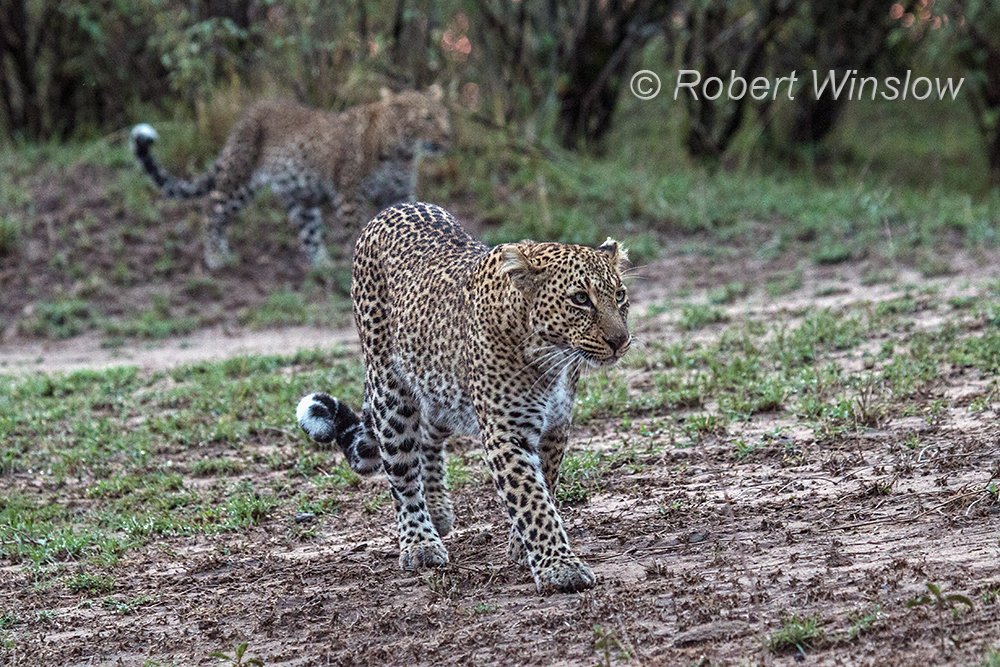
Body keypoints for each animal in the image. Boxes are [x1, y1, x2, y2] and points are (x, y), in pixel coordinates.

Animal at [129, 85, 451, 269]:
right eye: (427, 118)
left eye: (444, 115)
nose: (447, 136)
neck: (401, 152)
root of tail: (248, 114)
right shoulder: (350, 195)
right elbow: (356, 231)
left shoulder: (401, 194)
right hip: (240, 178)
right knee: (212, 208)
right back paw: (216, 257)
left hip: (299, 196)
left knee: (309, 231)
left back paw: (322, 266)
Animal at [296, 202, 631, 593]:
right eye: (580, 299)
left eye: (620, 296)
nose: (620, 340)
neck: (552, 358)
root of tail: (393, 208)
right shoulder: (507, 432)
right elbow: (533, 500)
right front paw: (559, 567)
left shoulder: (555, 427)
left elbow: (545, 484)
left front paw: (522, 547)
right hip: (390, 389)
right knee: (401, 470)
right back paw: (420, 542)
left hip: (442, 392)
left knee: (427, 437)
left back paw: (438, 511)